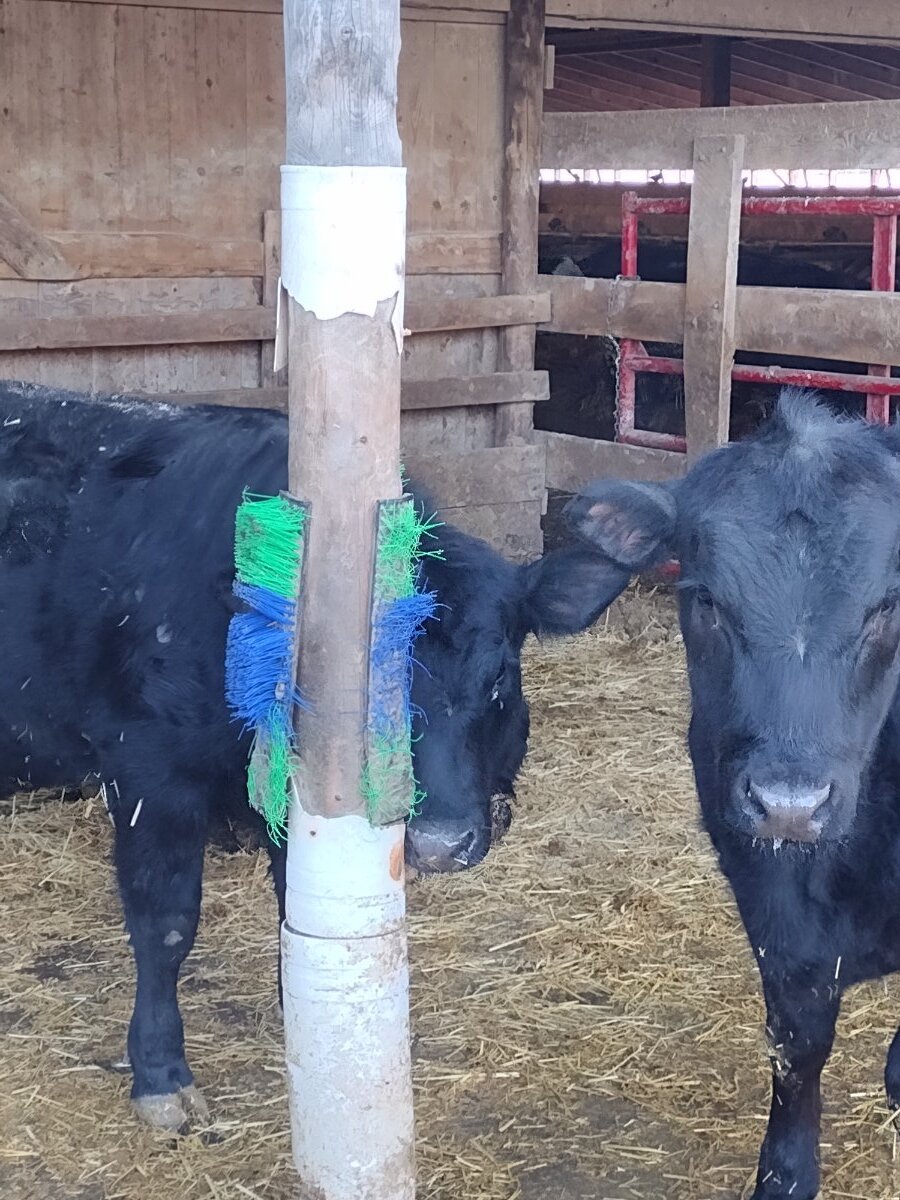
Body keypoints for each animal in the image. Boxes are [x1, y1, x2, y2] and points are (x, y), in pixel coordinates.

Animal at [0, 380, 631, 1132]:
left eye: (501, 676)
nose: (440, 843)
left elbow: (290, 904)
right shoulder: (148, 766)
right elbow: (167, 922)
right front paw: (161, 1074)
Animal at [564, 390, 900, 1200]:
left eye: (886, 606)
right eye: (707, 601)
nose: (790, 803)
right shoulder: (770, 900)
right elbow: (798, 1043)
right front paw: (785, 1172)